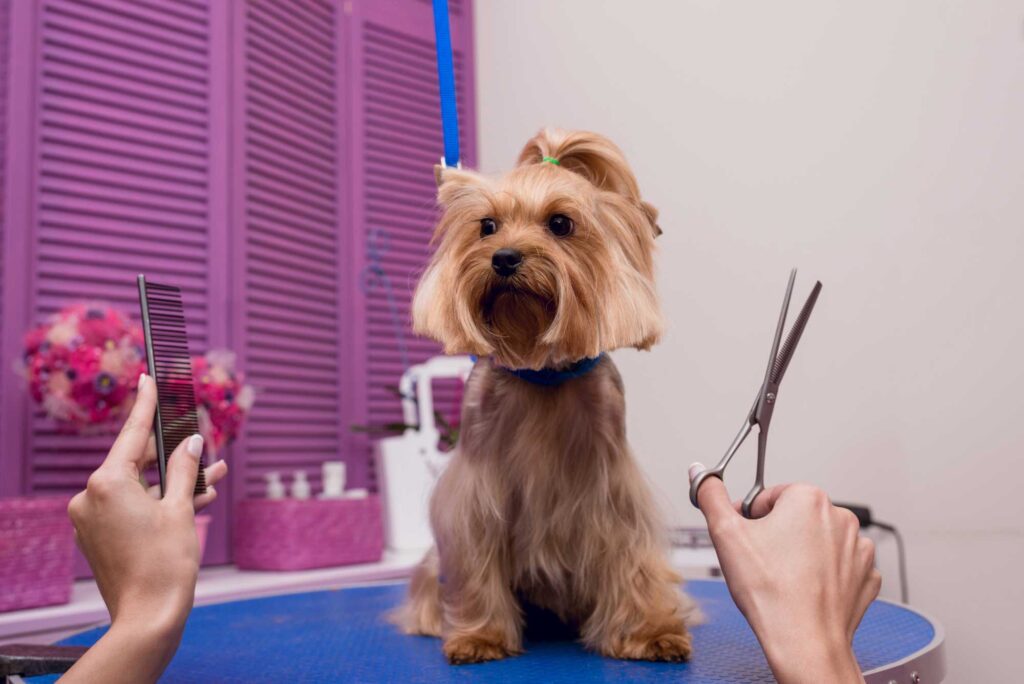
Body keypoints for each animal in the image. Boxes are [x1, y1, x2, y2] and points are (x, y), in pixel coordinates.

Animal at [391, 127, 696, 663]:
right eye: (487, 226)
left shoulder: (613, 493)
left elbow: (632, 559)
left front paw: (648, 632)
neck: (542, 370)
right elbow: (477, 561)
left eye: (560, 224)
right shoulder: (475, 495)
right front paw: (480, 636)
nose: (504, 258)